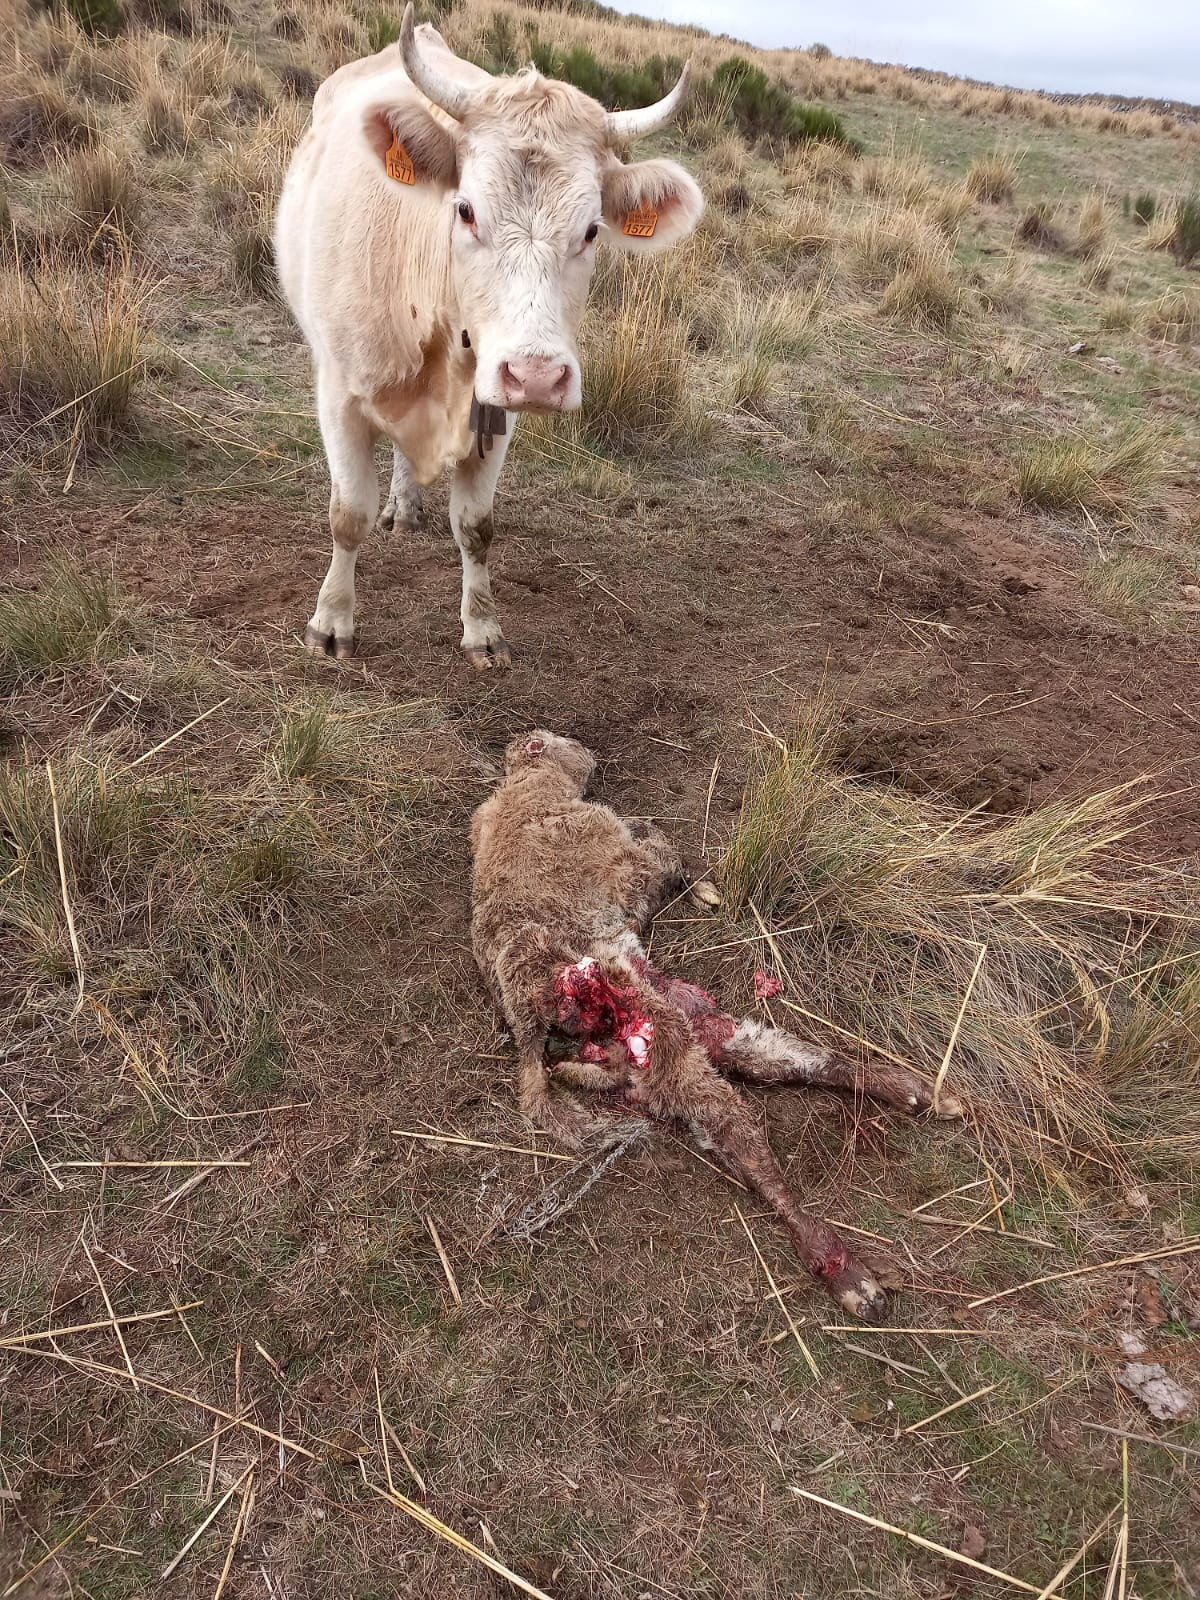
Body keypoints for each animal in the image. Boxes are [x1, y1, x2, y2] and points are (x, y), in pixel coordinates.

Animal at [272, 6, 704, 668]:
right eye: (466, 210)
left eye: (592, 230)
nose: (537, 376)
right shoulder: (339, 392)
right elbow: (347, 514)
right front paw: (332, 620)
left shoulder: (496, 411)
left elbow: (476, 526)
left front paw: (482, 628)